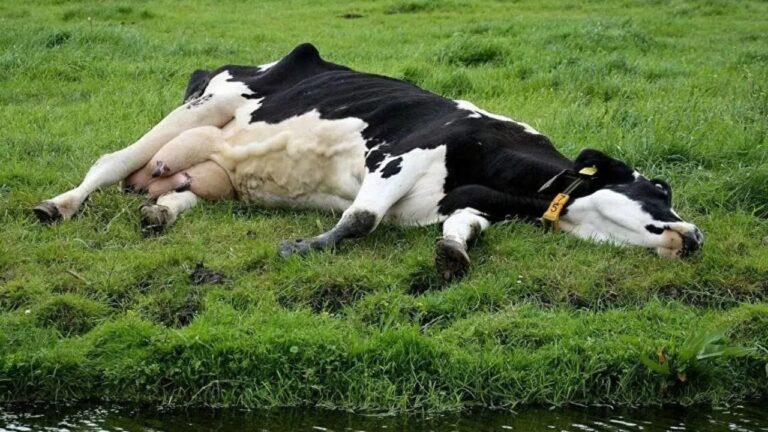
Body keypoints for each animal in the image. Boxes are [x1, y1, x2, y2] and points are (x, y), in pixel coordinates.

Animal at [33, 43, 703, 281]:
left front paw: (452, 253)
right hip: (205, 106)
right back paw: (58, 205)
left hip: (210, 174)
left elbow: (463, 229)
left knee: (175, 191)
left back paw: (160, 215)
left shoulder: (461, 203)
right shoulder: (403, 154)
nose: (695, 235)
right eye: (661, 188)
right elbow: (360, 219)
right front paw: (302, 248)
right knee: (112, 161)